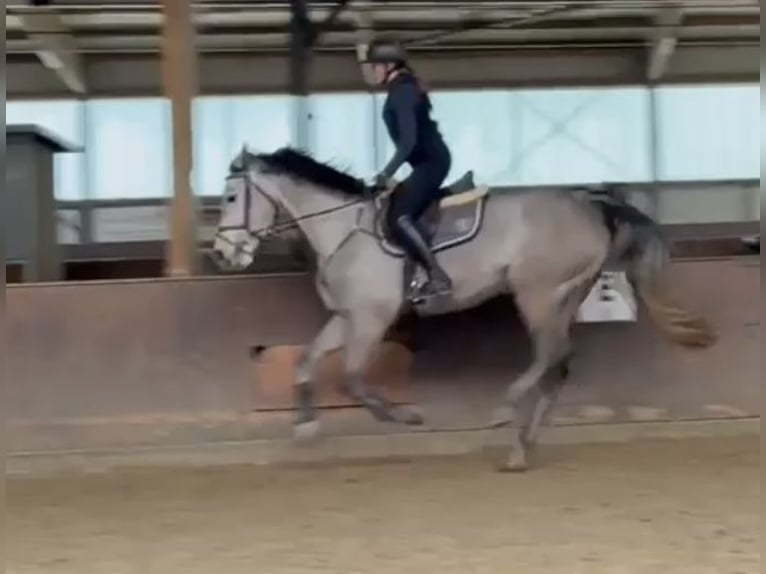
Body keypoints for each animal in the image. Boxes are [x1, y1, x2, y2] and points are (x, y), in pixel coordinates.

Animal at [210, 146, 712, 470]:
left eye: (232, 197)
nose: (222, 254)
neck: (344, 229)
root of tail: (589, 201)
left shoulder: (372, 318)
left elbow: (352, 378)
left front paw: (405, 416)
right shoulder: (347, 317)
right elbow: (304, 363)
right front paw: (304, 428)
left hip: (535, 292)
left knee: (549, 355)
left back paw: (506, 413)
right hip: (564, 295)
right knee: (560, 361)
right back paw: (523, 446)